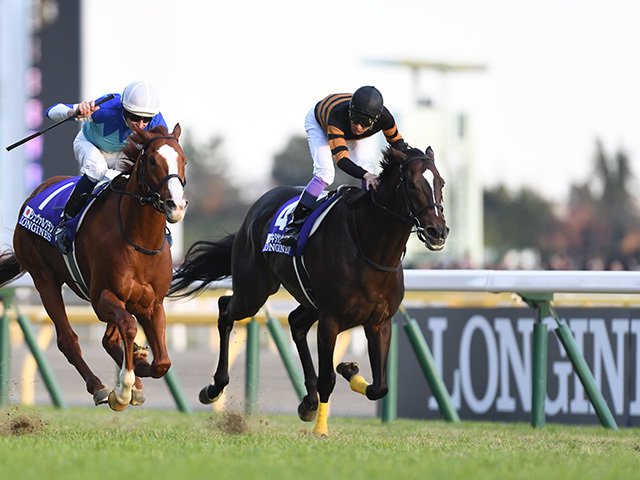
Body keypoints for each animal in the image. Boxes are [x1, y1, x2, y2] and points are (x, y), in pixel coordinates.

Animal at [0, 124, 187, 411]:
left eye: (183, 160)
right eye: (153, 161)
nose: (175, 206)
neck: (139, 240)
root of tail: (35, 194)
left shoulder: (152, 304)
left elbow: (162, 363)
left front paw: (139, 366)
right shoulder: (103, 297)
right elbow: (129, 328)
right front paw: (124, 388)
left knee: (109, 340)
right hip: (44, 279)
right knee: (68, 340)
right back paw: (99, 387)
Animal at [169, 145, 448, 435]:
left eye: (441, 183)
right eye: (413, 184)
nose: (437, 231)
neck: (371, 248)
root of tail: (258, 206)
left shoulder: (379, 322)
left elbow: (379, 387)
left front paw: (348, 370)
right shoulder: (330, 319)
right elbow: (328, 379)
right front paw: (321, 430)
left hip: (306, 300)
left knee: (295, 322)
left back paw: (309, 401)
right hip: (254, 291)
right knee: (226, 308)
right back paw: (214, 388)